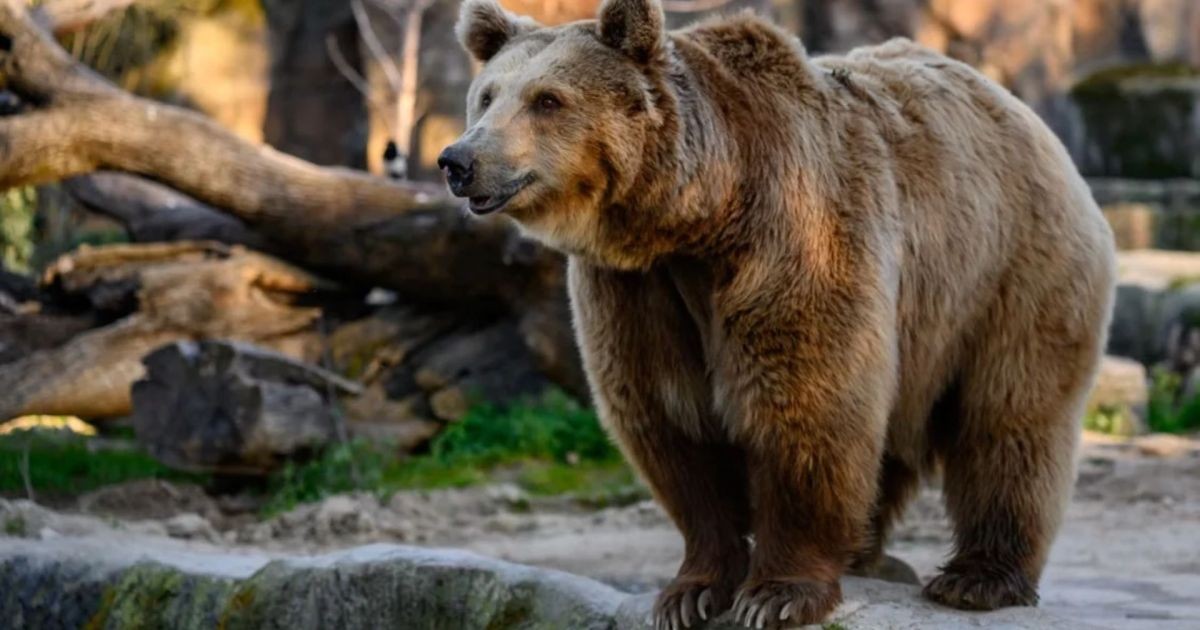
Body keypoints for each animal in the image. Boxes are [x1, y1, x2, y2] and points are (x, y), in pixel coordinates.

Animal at [440, 0, 1116, 627]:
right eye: (487, 95)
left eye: (547, 99)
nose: (458, 160)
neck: (698, 216)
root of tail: (1021, 111)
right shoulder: (637, 289)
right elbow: (670, 420)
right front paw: (690, 592)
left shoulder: (795, 237)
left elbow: (804, 407)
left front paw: (777, 594)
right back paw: (867, 554)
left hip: (1008, 271)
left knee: (1009, 419)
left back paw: (977, 578)